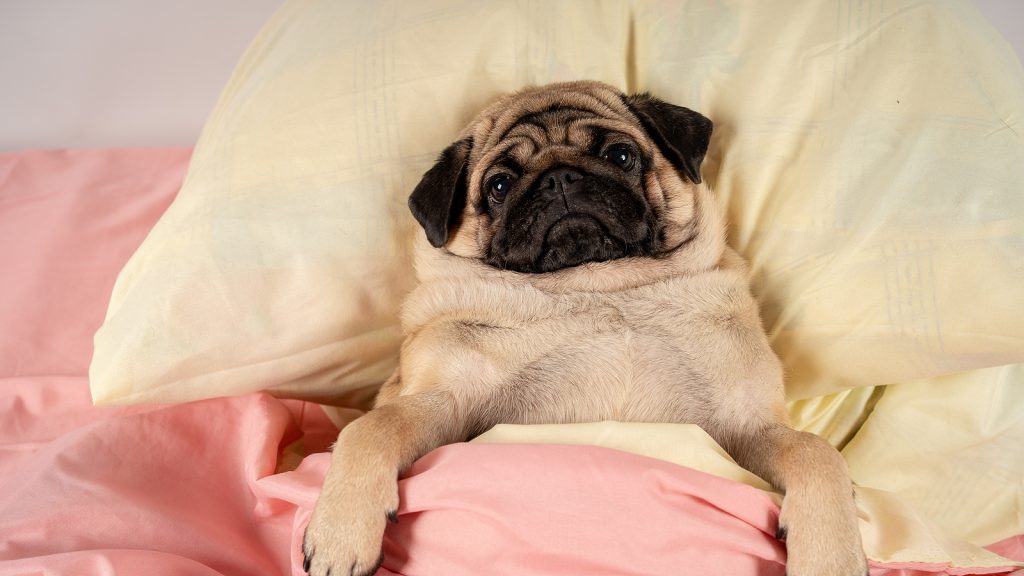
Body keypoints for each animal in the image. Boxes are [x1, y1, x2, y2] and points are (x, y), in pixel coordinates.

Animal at [301, 80, 864, 573]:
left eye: (621, 156)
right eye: (499, 185)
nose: (559, 178)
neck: (599, 289)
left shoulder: (747, 425)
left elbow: (816, 452)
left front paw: (832, 557)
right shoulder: (441, 403)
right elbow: (369, 428)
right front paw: (340, 536)